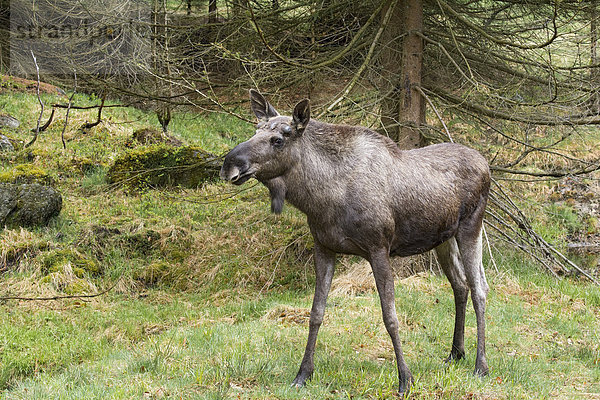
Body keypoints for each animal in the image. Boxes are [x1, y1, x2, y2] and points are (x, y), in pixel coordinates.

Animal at [218, 90, 490, 394]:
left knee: (479, 288)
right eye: (256, 129)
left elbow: (390, 317)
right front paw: (303, 373)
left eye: (278, 139)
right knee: (460, 285)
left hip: (471, 227)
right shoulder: (324, 248)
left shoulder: (379, 248)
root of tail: (486, 164)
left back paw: (480, 365)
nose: (229, 164)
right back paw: (456, 352)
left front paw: (405, 379)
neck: (320, 199)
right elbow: (316, 313)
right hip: (443, 238)